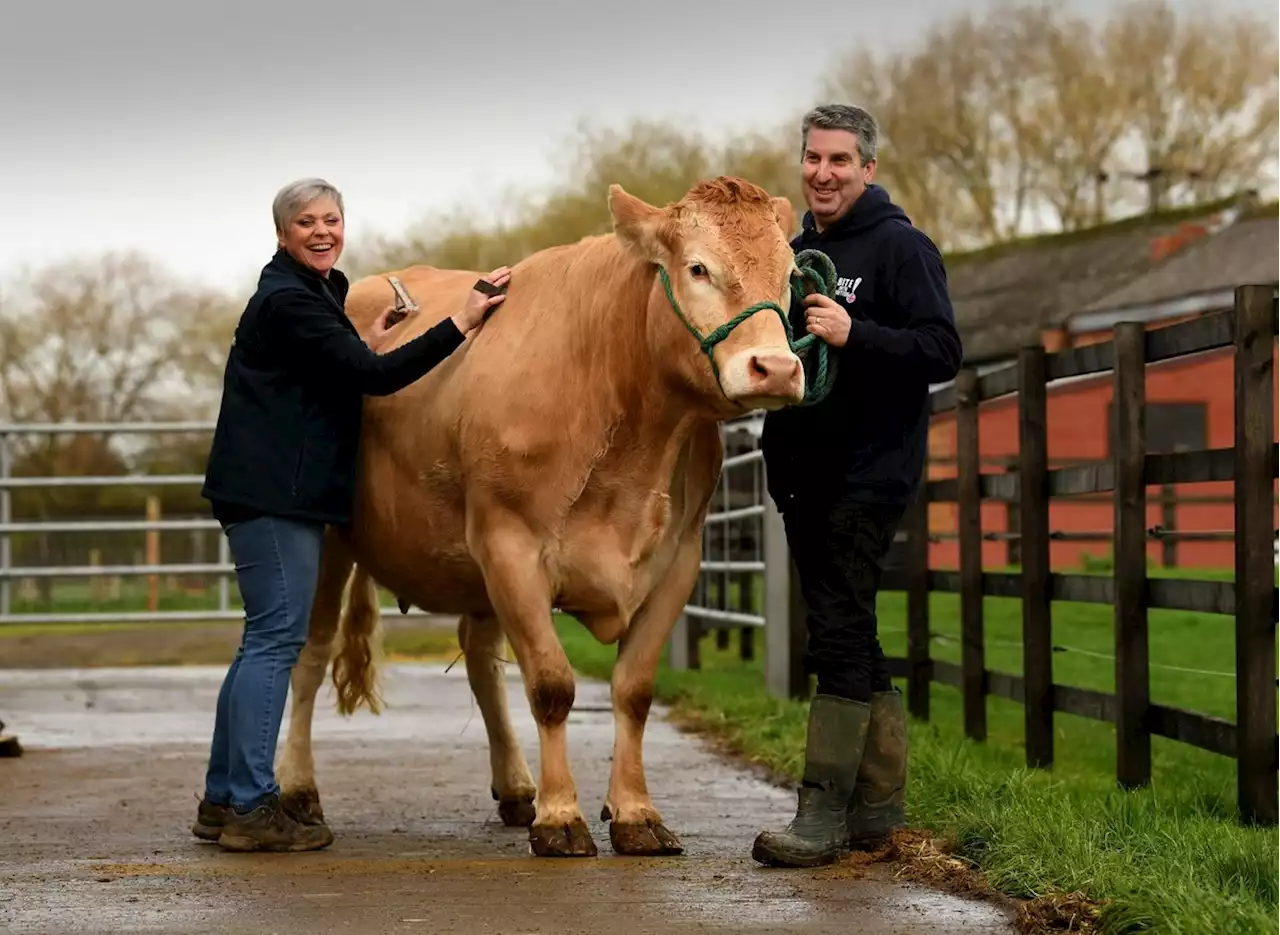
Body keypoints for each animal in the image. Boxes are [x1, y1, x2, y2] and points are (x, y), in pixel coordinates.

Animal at [272, 174, 808, 860]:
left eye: (790, 275)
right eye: (697, 268)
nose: (778, 368)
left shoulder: (678, 560)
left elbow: (633, 690)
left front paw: (634, 812)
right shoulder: (511, 545)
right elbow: (552, 686)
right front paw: (561, 817)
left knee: (479, 660)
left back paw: (515, 786)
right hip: (330, 540)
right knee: (309, 655)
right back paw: (298, 789)